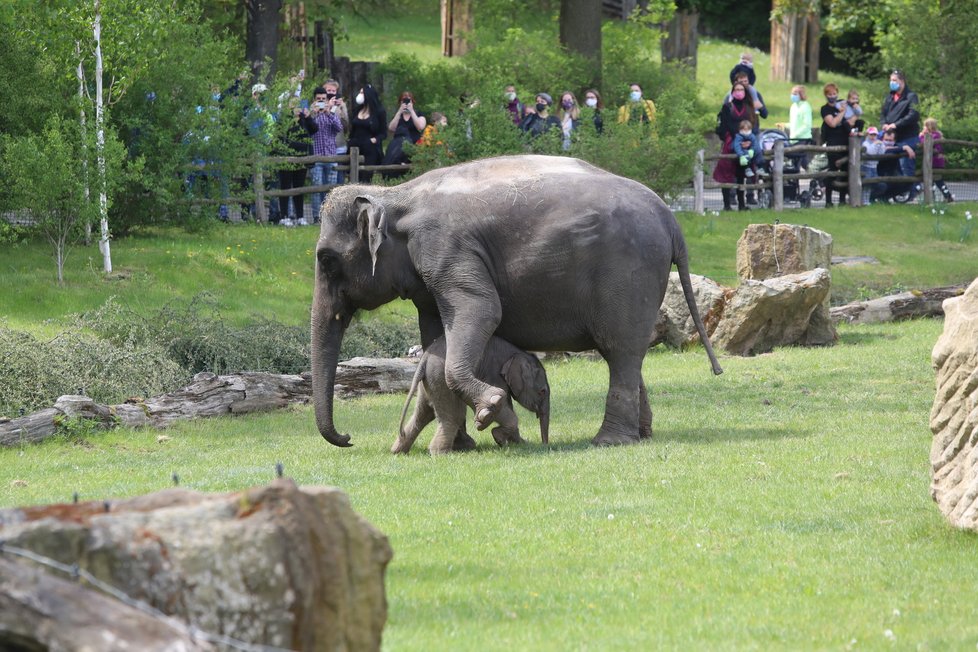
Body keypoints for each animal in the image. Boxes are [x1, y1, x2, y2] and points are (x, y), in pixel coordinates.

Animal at [394, 336, 548, 454]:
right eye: (542, 391)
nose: (544, 445)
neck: (517, 352)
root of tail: (424, 359)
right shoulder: (492, 374)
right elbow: (501, 404)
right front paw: (497, 436)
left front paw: (519, 443)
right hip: (441, 380)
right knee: (453, 417)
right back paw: (442, 453)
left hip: (429, 382)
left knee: (423, 414)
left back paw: (398, 451)